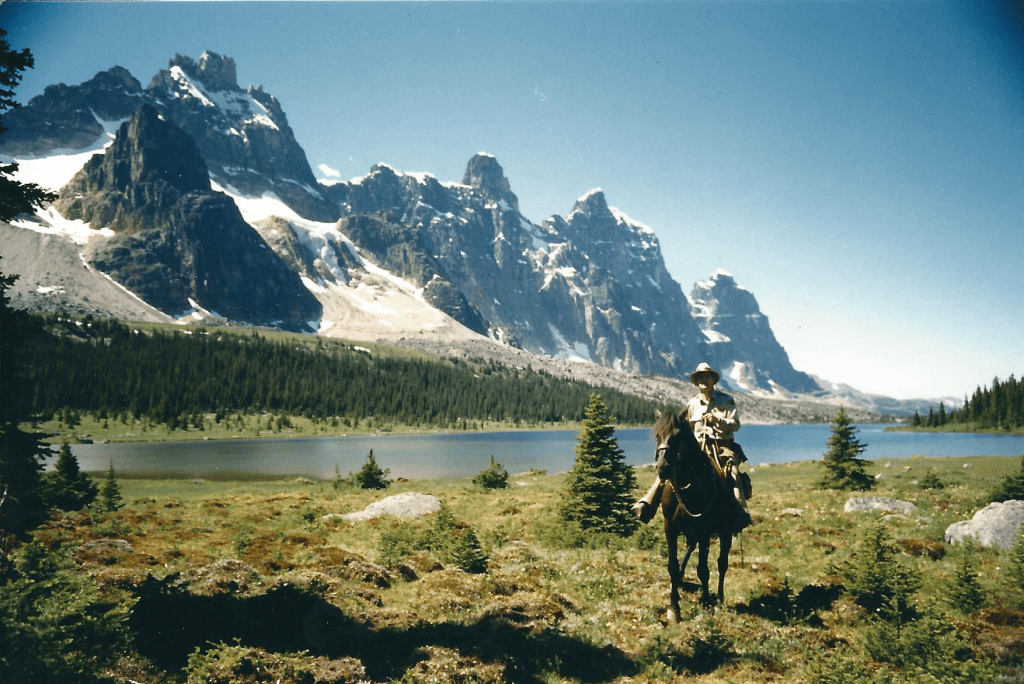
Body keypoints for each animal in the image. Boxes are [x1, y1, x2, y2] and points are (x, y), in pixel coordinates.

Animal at [651, 411, 741, 618]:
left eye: (677, 437)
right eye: (657, 436)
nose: (662, 468)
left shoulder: (704, 530)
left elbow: (703, 569)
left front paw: (707, 603)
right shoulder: (670, 528)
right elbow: (672, 566)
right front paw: (674, 608)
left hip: (724, 531)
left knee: (722, 563)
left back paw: (719, 600)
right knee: (691, 550)